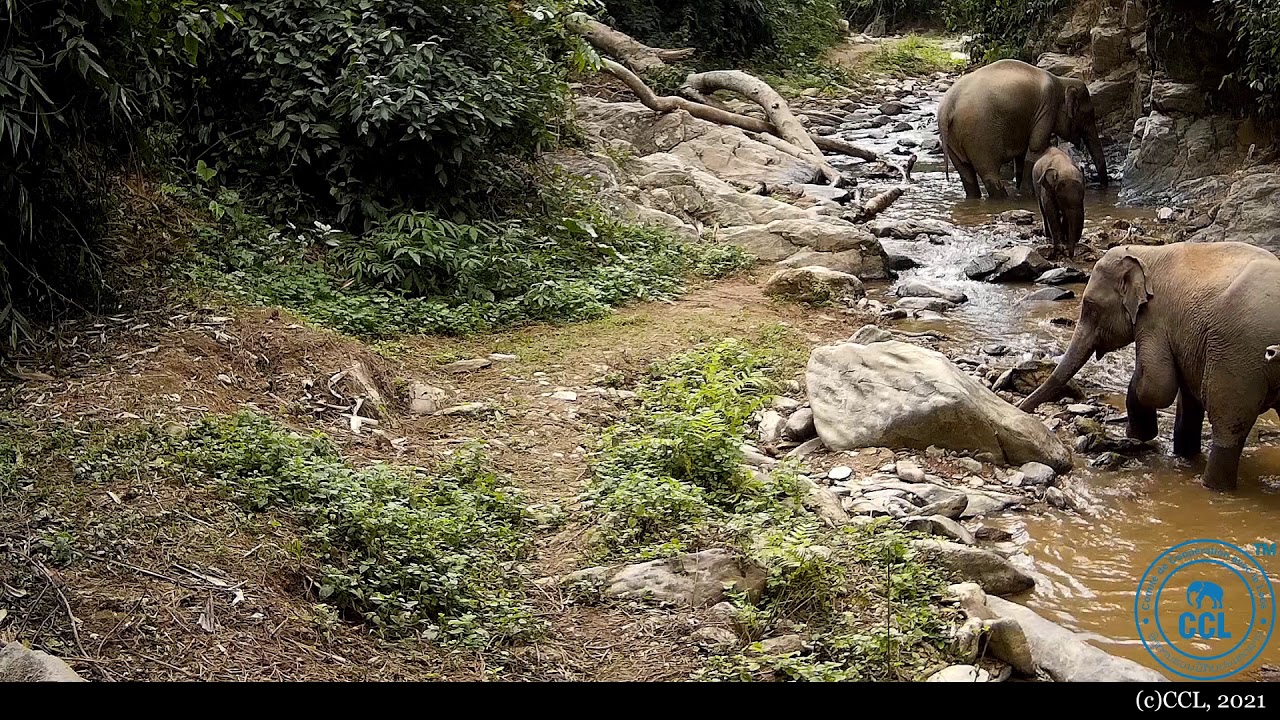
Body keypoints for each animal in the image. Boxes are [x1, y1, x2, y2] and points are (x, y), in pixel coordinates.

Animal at [938, 59, 1108, 200]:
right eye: (1088, 115)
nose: (1102, 187)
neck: (1061, 81)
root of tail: (948, 107)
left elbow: (1021, 155)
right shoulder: (1047, 108)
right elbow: (1036, 146)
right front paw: (1028, 195)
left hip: (952, 141)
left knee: (965, 173)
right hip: (980, 136)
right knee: (989, 174)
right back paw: (1003, 199)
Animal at [1019, 242, 1280, 492]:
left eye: (1091, 307)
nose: (1022, 408)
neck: (1145, 253)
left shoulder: (1155, 318)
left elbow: (1157, 387)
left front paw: (1136, 436)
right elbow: (1184, 396)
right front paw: (1182, 454)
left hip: (1238, 354)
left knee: (1227, 421)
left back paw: (1213, 487)